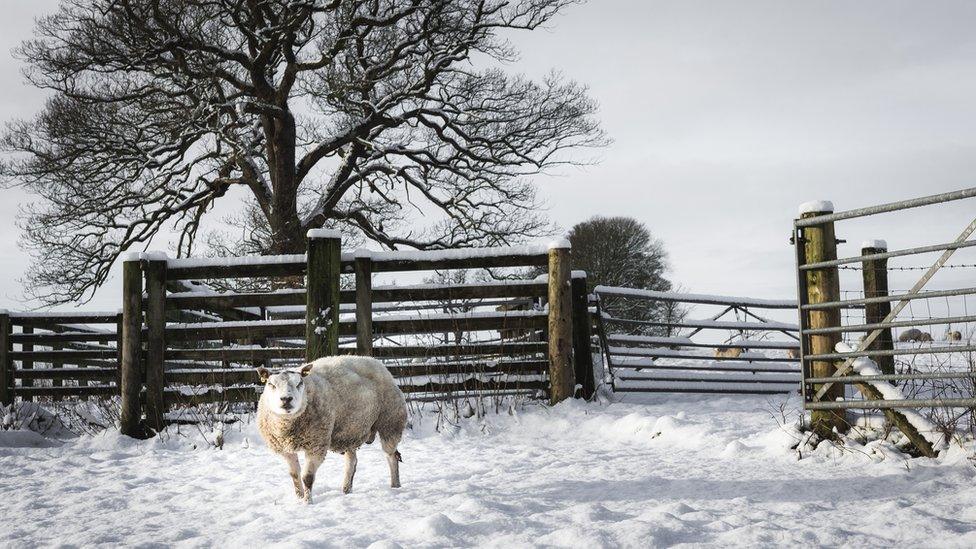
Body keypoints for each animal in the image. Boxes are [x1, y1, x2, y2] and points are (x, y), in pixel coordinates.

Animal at [258, 354, 406, 504]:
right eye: (271, 384)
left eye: (299, 383)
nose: (286, 399)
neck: (289, 428)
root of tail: (376, 362)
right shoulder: (285, 449)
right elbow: (294, 475)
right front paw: (299, 498)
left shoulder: (316, 445)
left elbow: (307, 477)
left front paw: (308, 502)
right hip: (351, 431)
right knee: (352, 461)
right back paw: (346, 489)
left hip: (390, 422)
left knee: (392, 456)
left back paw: (395, 485)